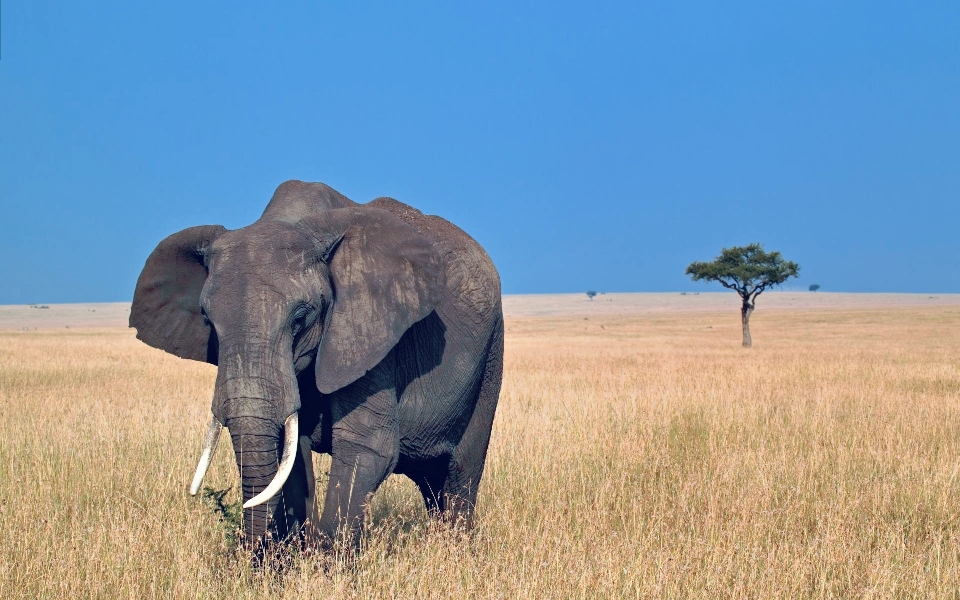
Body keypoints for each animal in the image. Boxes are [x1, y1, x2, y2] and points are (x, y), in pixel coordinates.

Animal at [131, 180, 506, 556]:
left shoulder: (369, 330)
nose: (254, 552)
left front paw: (325, 563)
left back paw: (454, 550)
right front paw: (291, 557)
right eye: (208, 321)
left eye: (300, 319)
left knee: (459, 473)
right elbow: (291, 456)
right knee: (431, 481)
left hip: (491, 354)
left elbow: (367, 445)